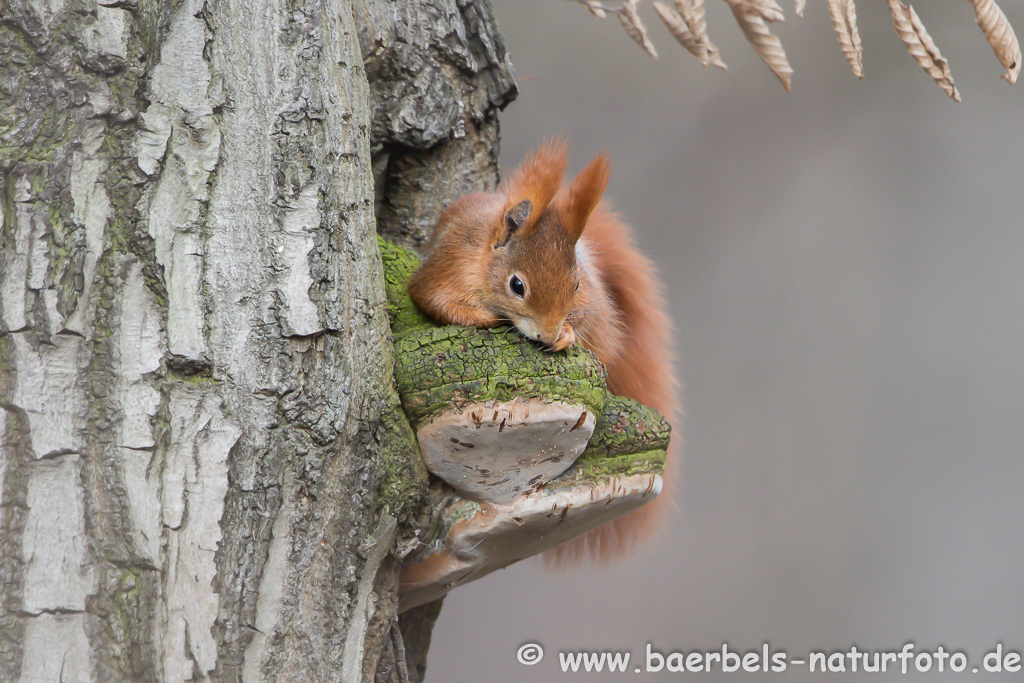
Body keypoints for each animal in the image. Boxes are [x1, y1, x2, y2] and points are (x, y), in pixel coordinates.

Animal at [407, 143, 679, 561]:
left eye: (576, 284)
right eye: (517, 285)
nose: (549, 334)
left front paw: (567, 334)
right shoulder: (446, 269)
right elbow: (435, 301)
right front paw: (486, 317)